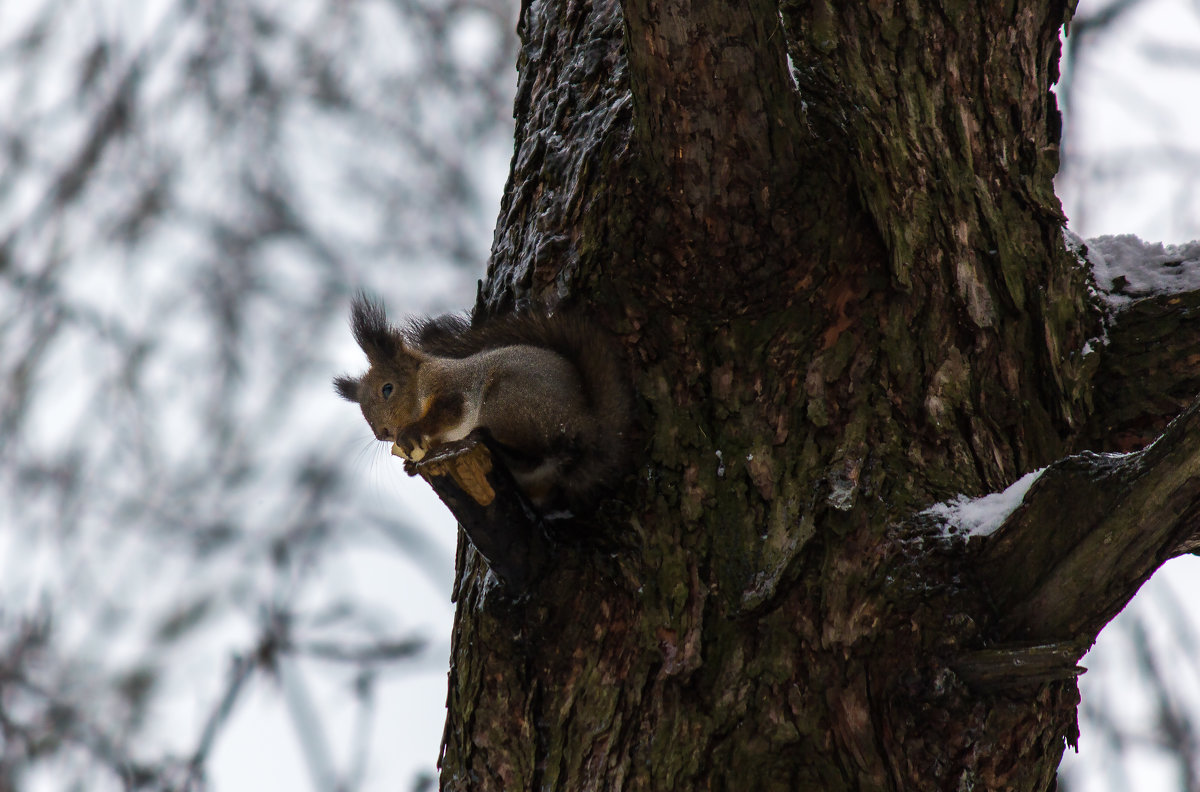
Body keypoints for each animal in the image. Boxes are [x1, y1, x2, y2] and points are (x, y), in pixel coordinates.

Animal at [333, 294, 633, 511]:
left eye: (387, 389)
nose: (382, 433)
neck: (422, 383)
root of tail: (585, 424)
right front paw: (410, 465)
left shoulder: (454, 390)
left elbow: (448, 413)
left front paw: (412, 432)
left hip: (507, 404)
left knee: (536, 453)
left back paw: (488, 439)